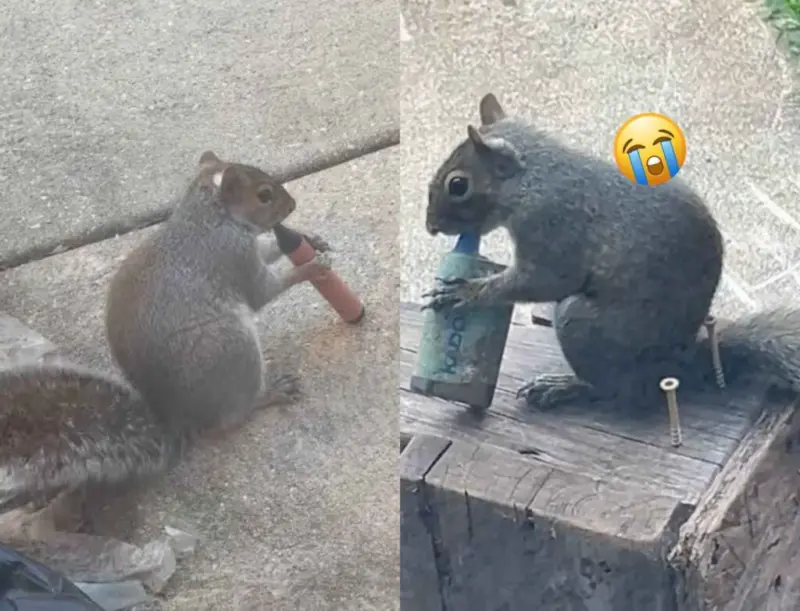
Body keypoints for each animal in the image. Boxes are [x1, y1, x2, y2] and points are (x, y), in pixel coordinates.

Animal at [0, 150, 332, 511]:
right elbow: (263, 291)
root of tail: (176, 419)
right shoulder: (233, 258)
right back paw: (269, 392)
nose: (293, 206)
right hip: (228, 347)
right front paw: (311, 267)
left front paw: (308, 240)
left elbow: (271, 250)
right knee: (230, 417)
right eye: (264, 195)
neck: (208, 218)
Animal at [423, 93, 800, 411]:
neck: (534, 180)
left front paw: (465, 292)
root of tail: (681, 363)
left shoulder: (553, 227)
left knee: (619, 392)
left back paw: (564, 386)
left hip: (583, 324)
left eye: (458, 184)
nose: (431, 227)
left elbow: (546, 281)